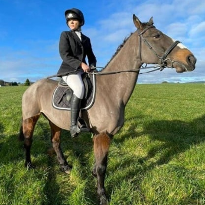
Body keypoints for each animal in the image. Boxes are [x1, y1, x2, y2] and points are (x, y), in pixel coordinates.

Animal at [19, 15, 197, 204]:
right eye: (156, 36)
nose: (191, 59)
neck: (111, 89)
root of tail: (31, 87)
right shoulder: (103, 135)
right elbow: (102, 167)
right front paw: (102, 195)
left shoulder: (106, 135)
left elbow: (100, 163)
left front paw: (93, 177)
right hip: (30, 118)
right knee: (28, 141)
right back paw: (28, 164)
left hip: (54, 120)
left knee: (55, 142)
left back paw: (65, 166)